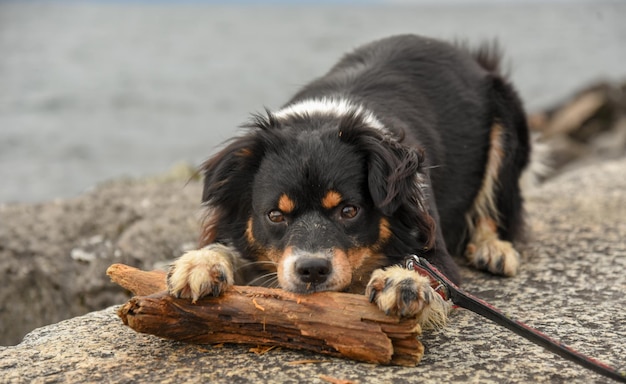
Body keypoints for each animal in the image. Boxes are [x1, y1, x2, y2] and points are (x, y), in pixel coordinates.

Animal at [165, 34, 528, 328]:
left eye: (349, 211)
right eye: (275, 216)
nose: (312, 270)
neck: (321, 121)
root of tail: (467, 54)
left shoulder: (434, 250)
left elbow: (426, 272)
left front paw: (402, 282)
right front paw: (202, 263)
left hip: (506, 125)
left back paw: (492, 249)